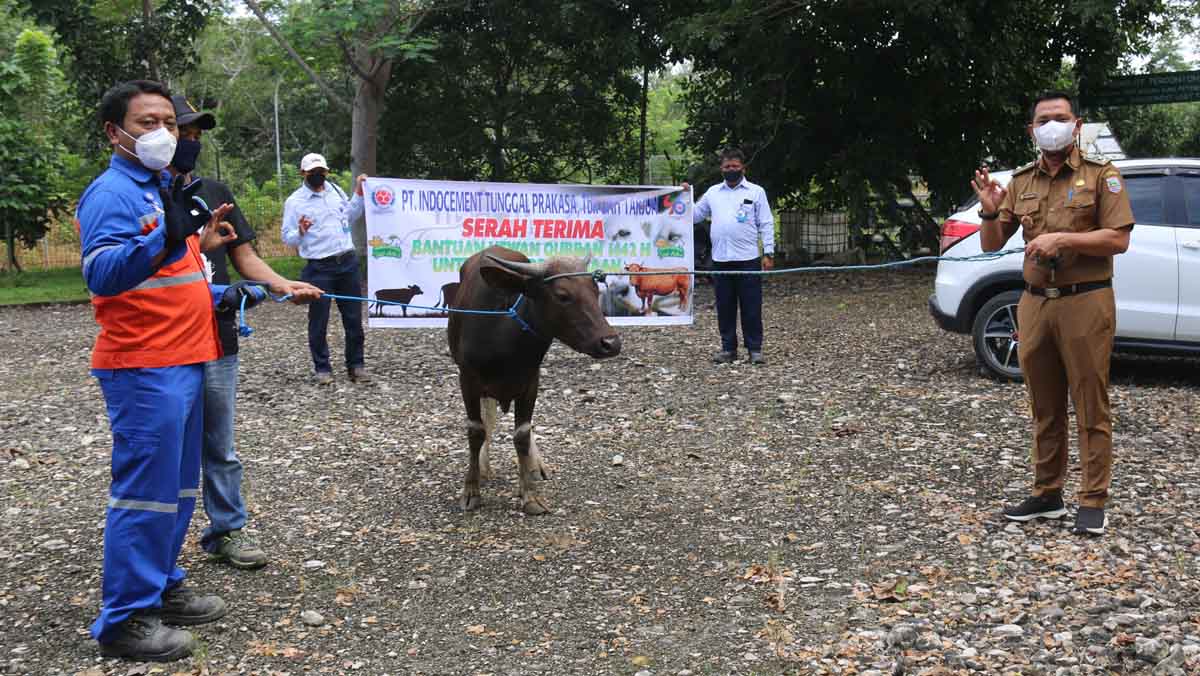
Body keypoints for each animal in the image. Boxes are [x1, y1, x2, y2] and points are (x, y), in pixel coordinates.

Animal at [448, 246, 624, 516]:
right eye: (562, 295)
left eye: (595, 291)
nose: (611, 343)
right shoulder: (467, 379)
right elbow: (476, 430)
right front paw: (471, 490)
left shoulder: (531, 381)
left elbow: (522, 434)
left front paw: (530, 494)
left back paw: (533, 466)